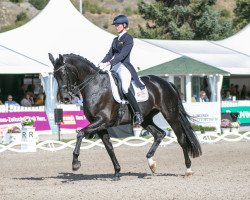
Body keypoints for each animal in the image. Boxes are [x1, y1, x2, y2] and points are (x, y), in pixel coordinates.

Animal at [48, 53, 201, 180]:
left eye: (63, 73)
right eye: (55, 76)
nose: (65, 98)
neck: (95, 86)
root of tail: (167, 83)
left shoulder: (101, 120)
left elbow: (80, 133)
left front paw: (75, 163)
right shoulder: (100, 125)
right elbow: (109, 147)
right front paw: (117, 172)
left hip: (170, 115)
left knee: (181, 139)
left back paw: (188, 169)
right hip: (145, 119)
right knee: (159, 134)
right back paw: (151, 163)